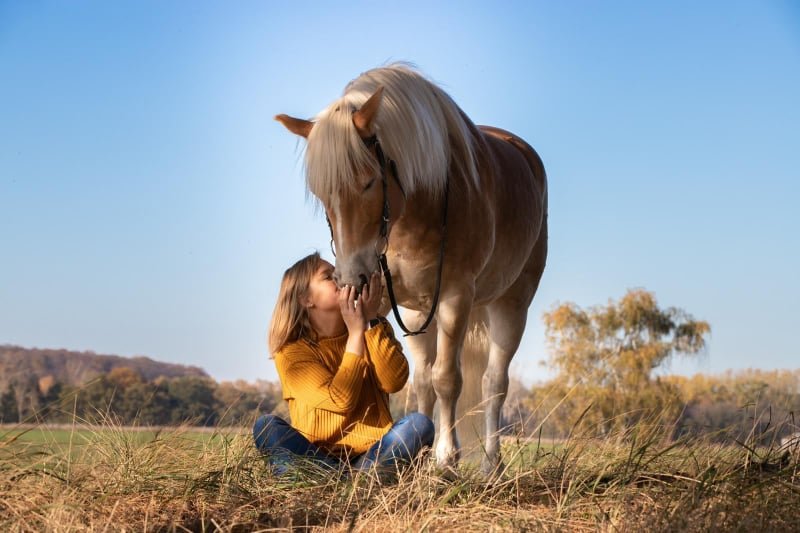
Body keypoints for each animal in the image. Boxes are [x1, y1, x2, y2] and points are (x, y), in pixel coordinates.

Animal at [274, 64, 544, 472]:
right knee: (424, 382)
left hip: (511, 304)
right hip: (418, 315)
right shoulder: (386, 298)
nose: (349, 278)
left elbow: (448, 378)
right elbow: (395, 378)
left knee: (493, 384)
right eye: (323, 194)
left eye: (368, 181)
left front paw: (446, 459)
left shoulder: (455, 297)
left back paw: (490, 465)